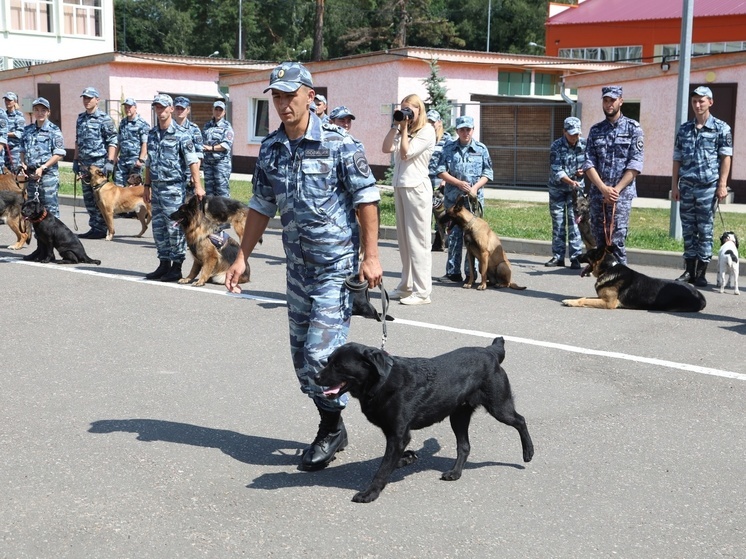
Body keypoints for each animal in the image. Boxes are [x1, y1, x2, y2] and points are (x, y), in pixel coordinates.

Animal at [312, 336, 528, 504]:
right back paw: (455, 473)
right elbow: (390, 461)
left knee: (520, 420)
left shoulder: (398, 435)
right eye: (327, 361)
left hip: (499, 406)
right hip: (458, 415)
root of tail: (490, 352)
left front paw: (370, 493)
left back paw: (528, 453)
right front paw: (405, 459)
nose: (315, 377)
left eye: (338, 365)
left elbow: (382, 469)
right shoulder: (393, 433)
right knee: (464, 446)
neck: (381, 382)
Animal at [560, 247, 708, 312]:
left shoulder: (609, 303)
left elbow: (585, 300)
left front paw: (571, 303)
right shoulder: (603, 298)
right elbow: (584, 297)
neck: (609, 268)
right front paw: (570, 300)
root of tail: (700, 295)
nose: (574, 256)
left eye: (586, 253)